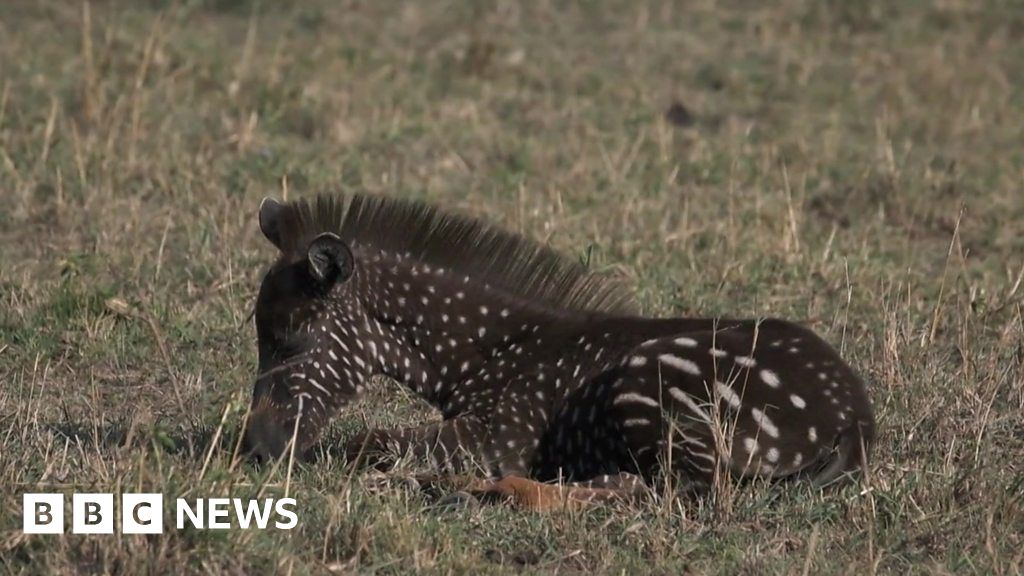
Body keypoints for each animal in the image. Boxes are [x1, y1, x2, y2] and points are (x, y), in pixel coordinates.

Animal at [242, 194, 875, 510]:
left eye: (291, 341)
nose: (255, 451)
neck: (490, 352)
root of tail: (856, 415)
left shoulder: (497, 436)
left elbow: (365, 443)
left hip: (651, 387)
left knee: (664, 492)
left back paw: (482, 491)